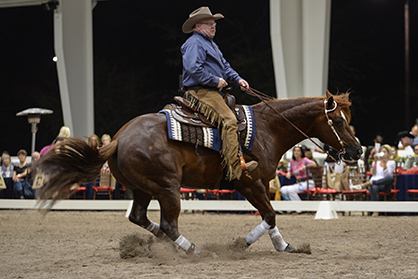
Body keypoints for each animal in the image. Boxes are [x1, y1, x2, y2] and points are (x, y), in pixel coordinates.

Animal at [37, 91, 360, 258]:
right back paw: (194, 250)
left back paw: (162, 244)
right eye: (337, 122)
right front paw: (246, 244)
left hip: (144, 188)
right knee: (169, 224)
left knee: (140, 217)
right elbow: (269, 215)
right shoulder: (249, 182)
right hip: (168, 187)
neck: (268, 129)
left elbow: (270, 215)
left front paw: (284, 246)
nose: (356, 150)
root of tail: (116, 139)